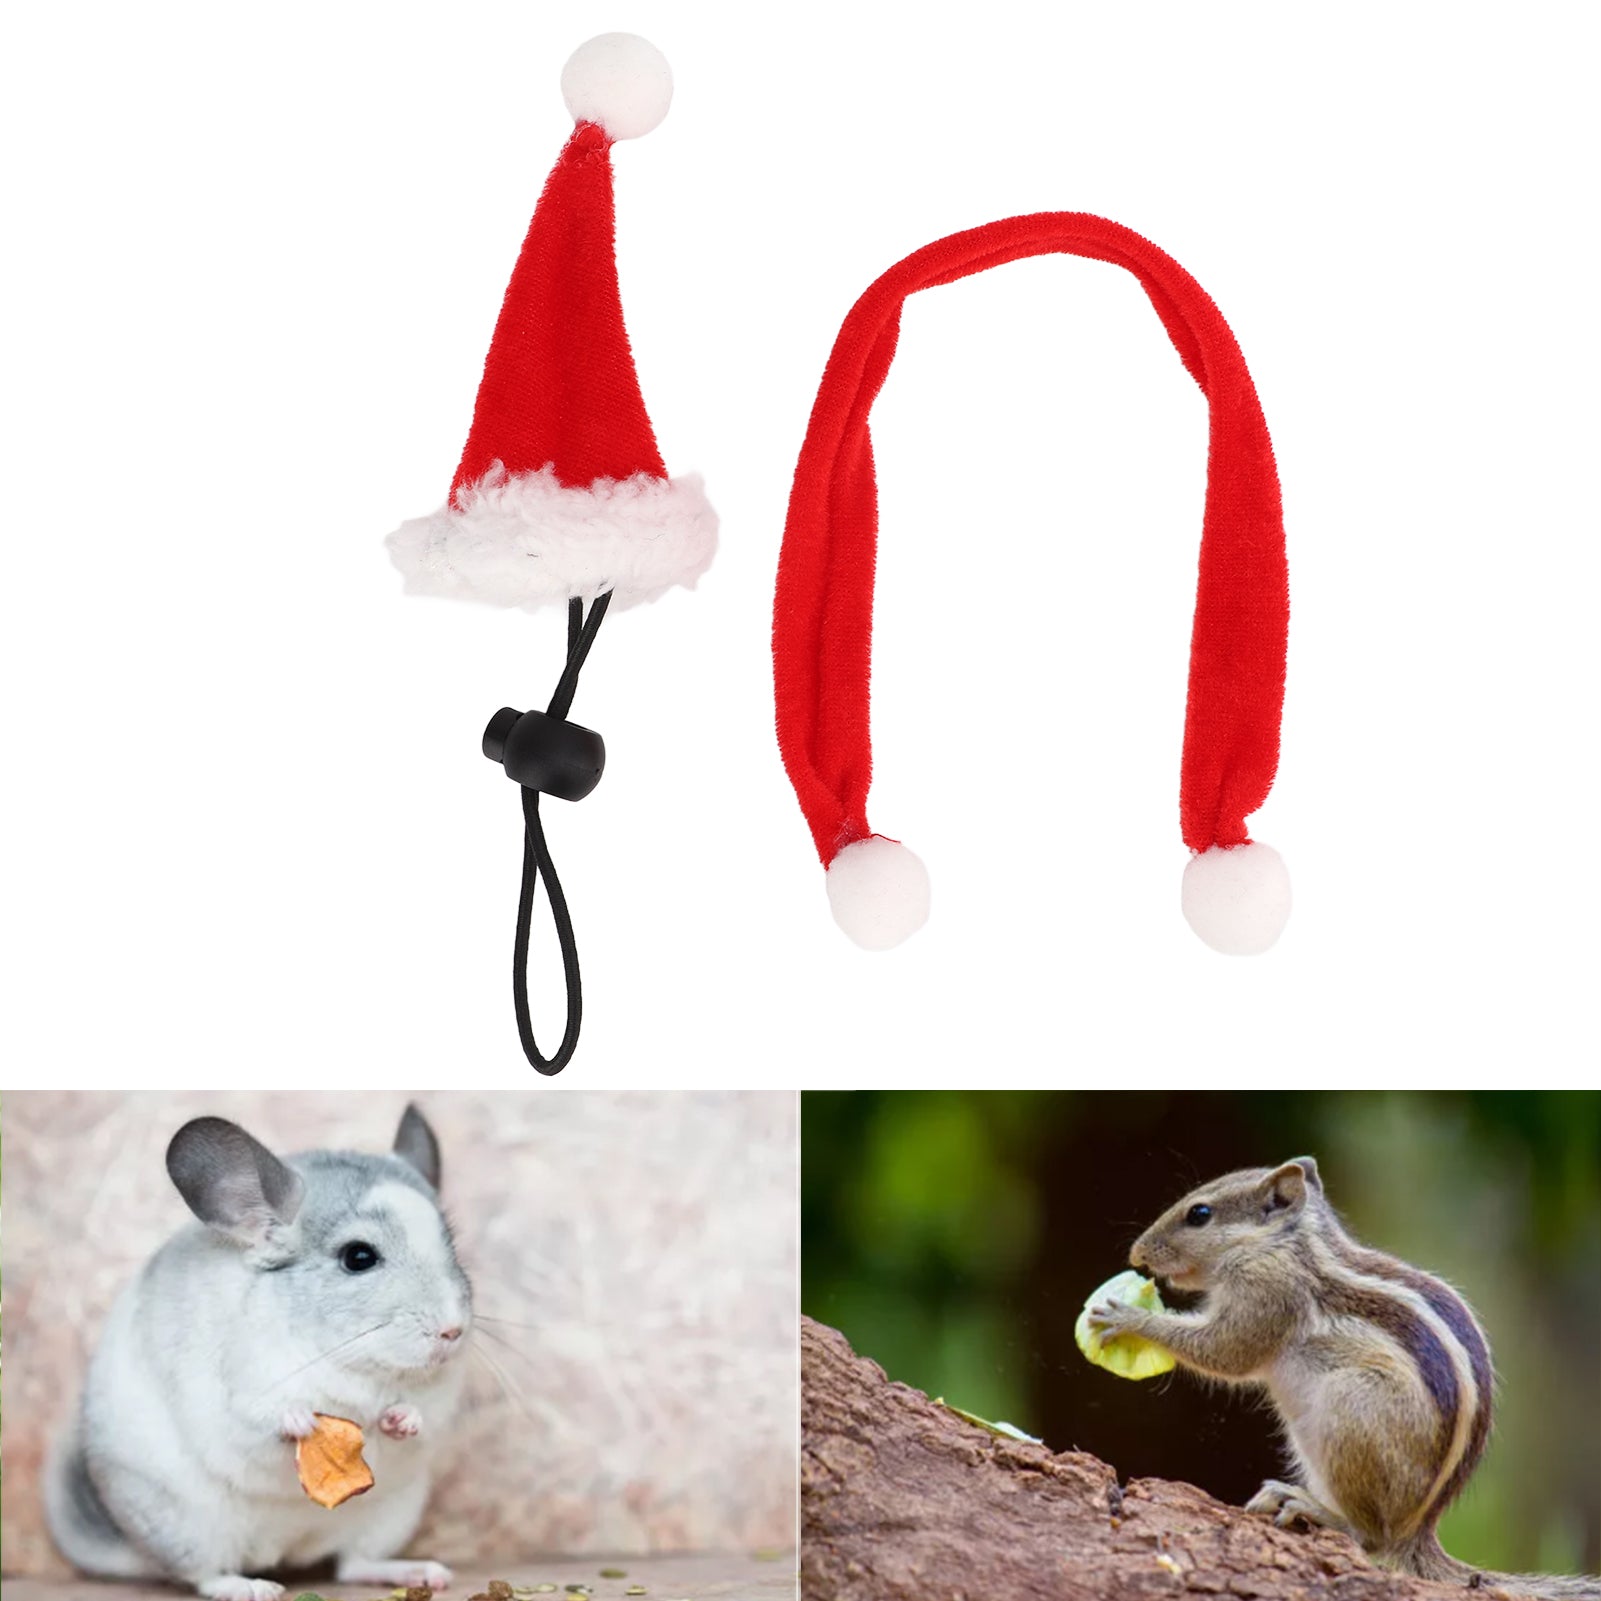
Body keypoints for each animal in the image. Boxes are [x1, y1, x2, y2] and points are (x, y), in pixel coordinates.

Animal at [45, 1104, 473, 1601]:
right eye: (359, 1257)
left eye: (452, 1248)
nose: (453, 1330)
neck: (347, 1363)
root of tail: (283, 1551)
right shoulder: (240, 1395)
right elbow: (260, 1420)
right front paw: (300, 1420)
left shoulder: (438, 1402)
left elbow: (422, 1420)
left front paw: (402, 1419)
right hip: (187, 1527)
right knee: (203, 1575)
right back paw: (250, 1587)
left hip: (390, 1516)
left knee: (352, 1564)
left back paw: (420, 1573)